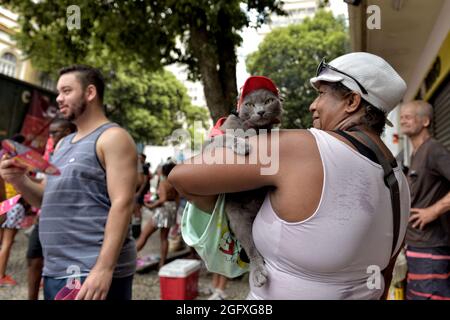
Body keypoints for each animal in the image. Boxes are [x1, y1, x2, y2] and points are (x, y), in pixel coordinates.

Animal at [207, 89, 284, 286]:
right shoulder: (208, 145)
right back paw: (258, 273)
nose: (261, 111)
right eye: (249, 104)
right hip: (237, 217)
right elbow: (225, 136)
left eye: (268, 101)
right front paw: (242, 144)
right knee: (251, 247)